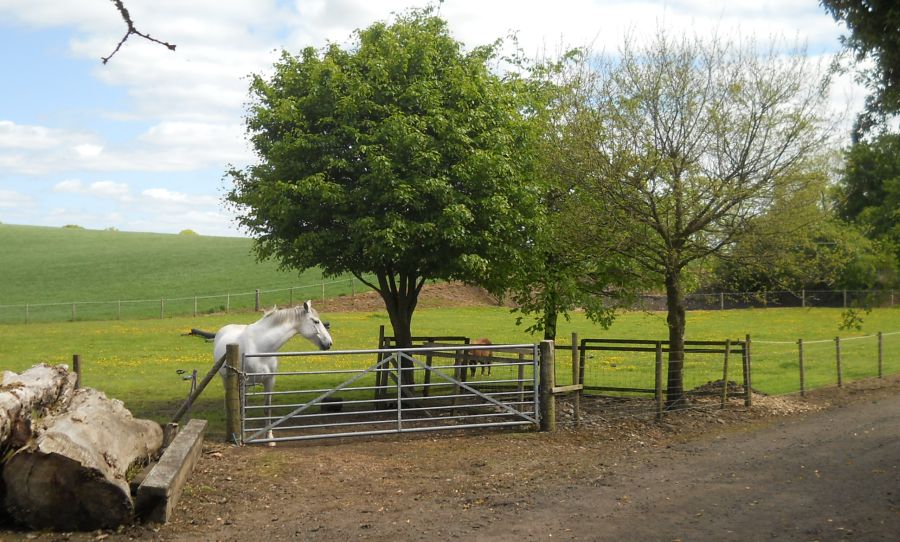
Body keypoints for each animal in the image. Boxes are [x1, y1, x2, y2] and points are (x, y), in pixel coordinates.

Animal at [214, 302, 334, 446]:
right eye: (316, 321)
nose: (329, 343)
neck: (260, 346)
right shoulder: (245, 382)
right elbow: (244, 409)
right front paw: (243, 436)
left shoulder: (269, 381)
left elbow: (267, 409)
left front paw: (269, 438)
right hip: (225, 378)